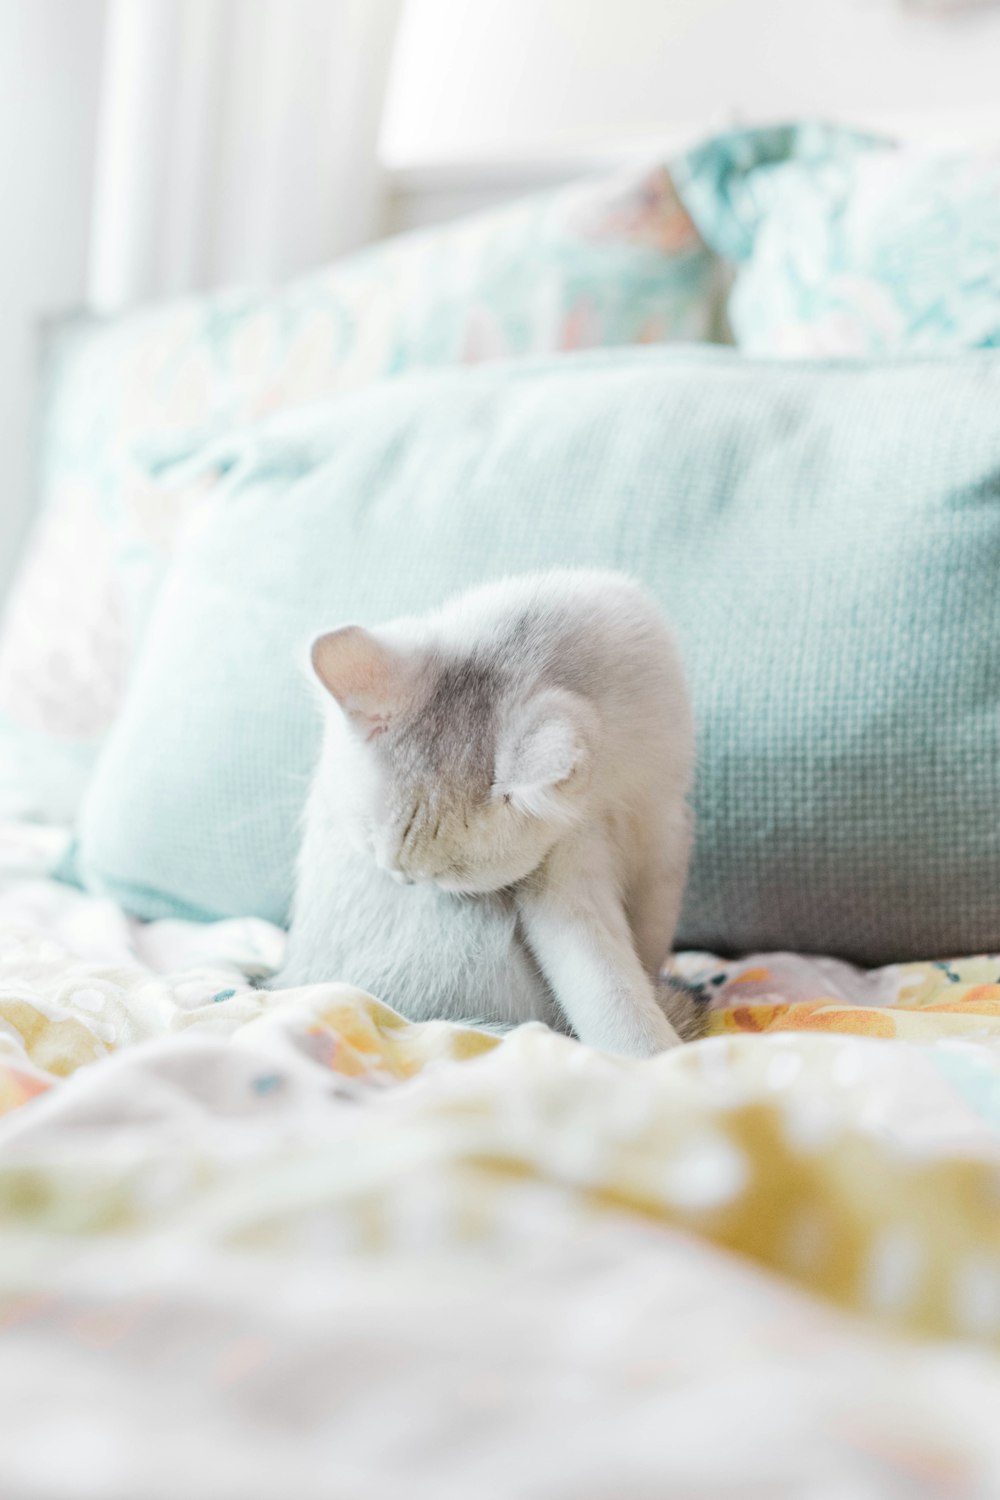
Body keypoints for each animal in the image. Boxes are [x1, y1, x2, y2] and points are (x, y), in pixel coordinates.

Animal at [269, 567, 701, 1062]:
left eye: (450, 876)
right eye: (371, 847)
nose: (402, 880)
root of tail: (294, 978)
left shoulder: (666, 833)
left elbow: (647, 943)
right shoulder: (565, 879)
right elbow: (609, 989)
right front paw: (654, 1058)